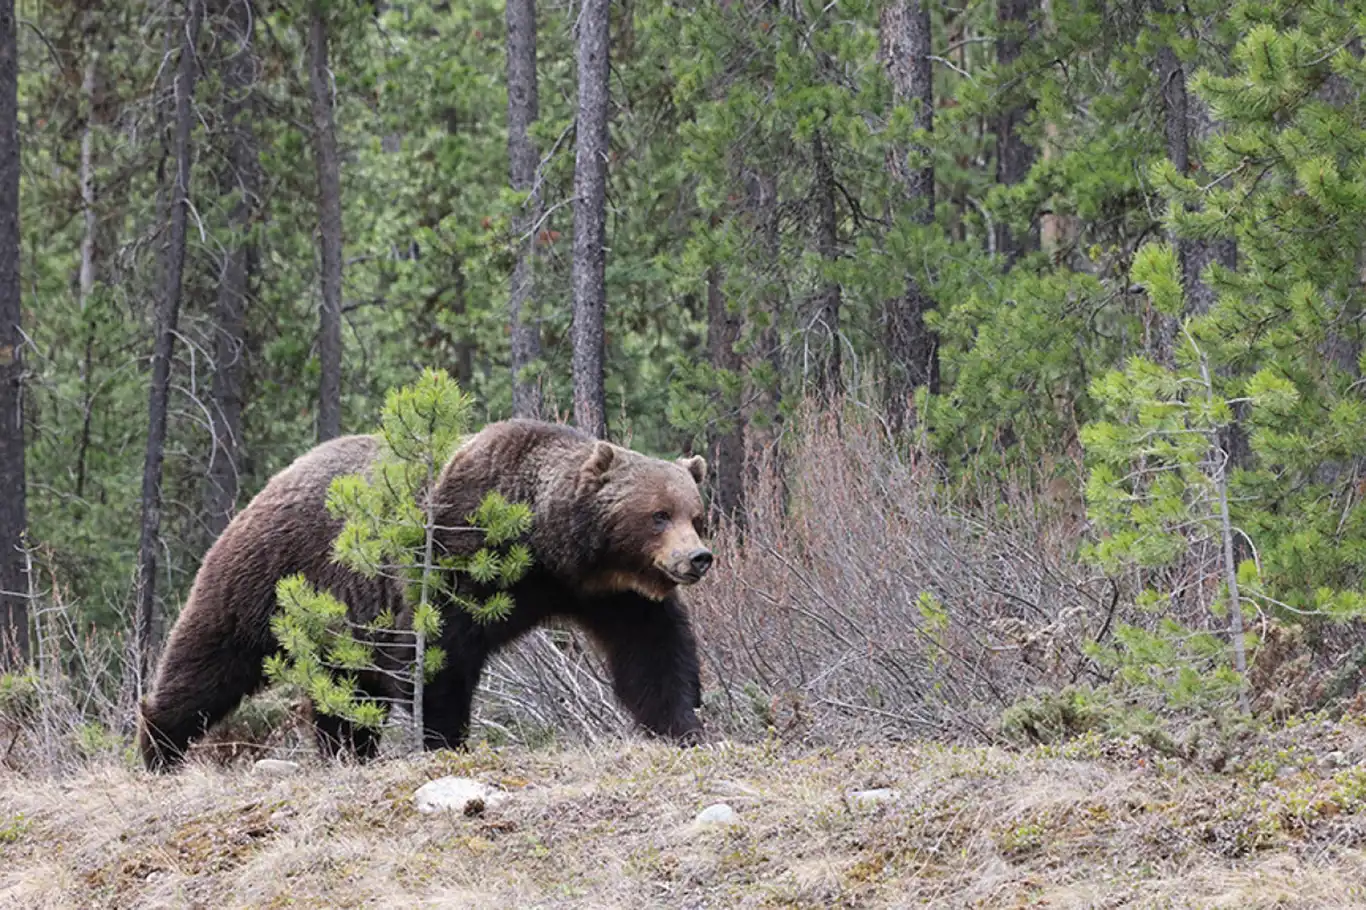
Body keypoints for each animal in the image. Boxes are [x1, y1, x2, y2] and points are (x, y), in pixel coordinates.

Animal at [138, 415, 715, 765]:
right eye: (658, 515)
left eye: (695, 515)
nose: (698, 559)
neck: (545, 545)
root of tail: (276, 477)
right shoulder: (454, 554)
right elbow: (438, 656)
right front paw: (445, 738)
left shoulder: (611, 594)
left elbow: (653, 653)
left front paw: (684, 725)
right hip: (270, 574)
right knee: (211, 658)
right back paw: (160, 745)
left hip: (339, 622)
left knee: (344, 692)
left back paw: (347, 750)